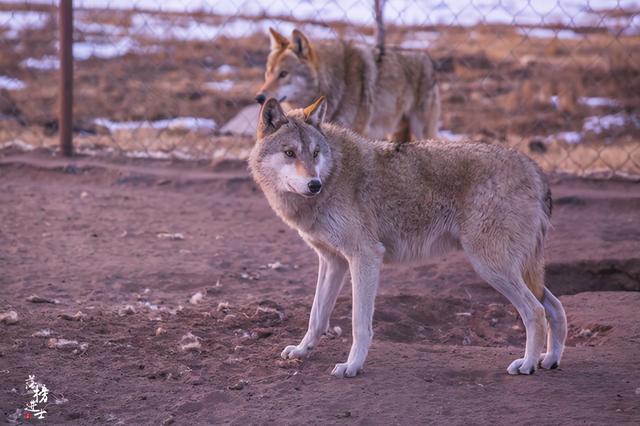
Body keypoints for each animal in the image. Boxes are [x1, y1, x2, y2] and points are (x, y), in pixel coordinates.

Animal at [250, 97, 568, 380]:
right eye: (290, 153)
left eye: (315, 153)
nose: (314, 184)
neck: (334, 174)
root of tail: (536, 169)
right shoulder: (333, 261)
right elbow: (316, 316)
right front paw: (302, 351)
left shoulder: (365, 256)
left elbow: (359, 324)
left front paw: (352, 366)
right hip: (512, 269)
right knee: (556, 308)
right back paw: (549, 359)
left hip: (491, 267)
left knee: (536, 311)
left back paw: (527, 365)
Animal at [255, 28, 440, 141]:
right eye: (268, 73)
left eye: (283, 74)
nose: (259, 97)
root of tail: (428, 59)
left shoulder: (358, 132)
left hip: (421, 131)